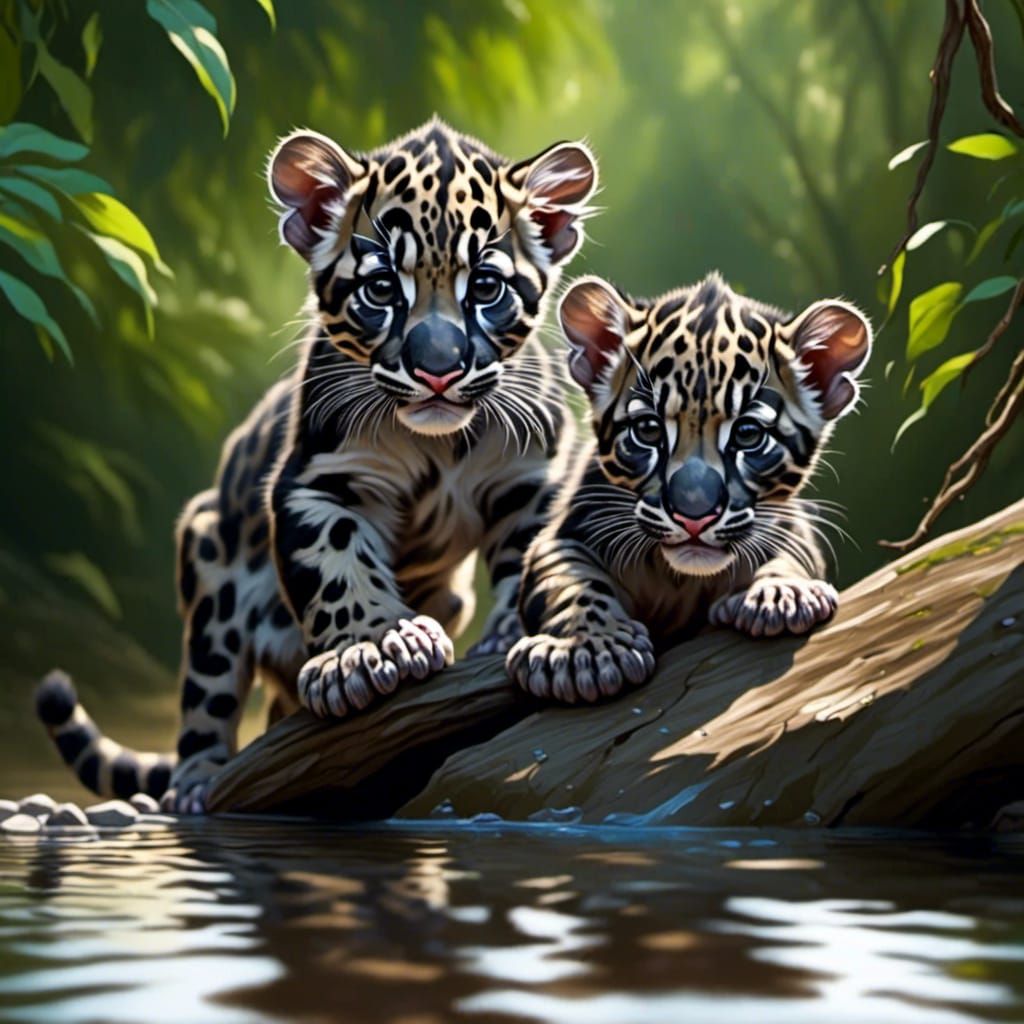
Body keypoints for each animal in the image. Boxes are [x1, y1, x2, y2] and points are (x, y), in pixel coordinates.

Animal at [36, 118, 598, 810]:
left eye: (486, 288)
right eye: (381, 289)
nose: (437, 370)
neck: (440, 445)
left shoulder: (530, 480)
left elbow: (533, 552)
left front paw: (507, 634)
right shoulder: (320, 480)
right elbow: (338, 560)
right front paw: (374, 648)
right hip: (209, 567)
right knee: (206, 698)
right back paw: (195, 785)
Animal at [507, 271, 872, 703]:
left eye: (748, 434)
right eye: (648, 430)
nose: (693, 516)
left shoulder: (787, 521)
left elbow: (791, 553)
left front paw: (782, 595)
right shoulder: (567, 530)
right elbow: (571, 582)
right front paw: (591, 651)